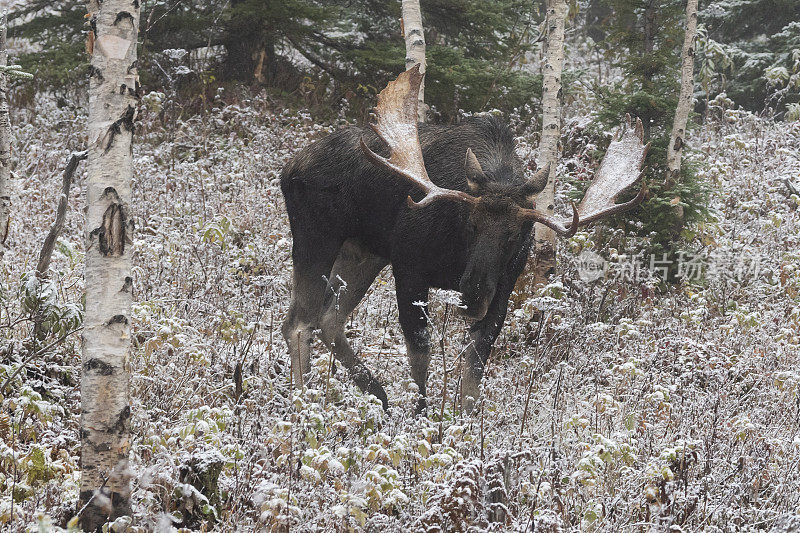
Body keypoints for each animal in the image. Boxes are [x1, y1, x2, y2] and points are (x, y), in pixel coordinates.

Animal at [278, 63, 648, 412]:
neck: (456, 255)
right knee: (299, 322)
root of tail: (288, 167)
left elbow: (475, 365)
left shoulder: (504, 286)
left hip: (364, 252)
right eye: (471, 224)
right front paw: (420, 416)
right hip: (318, 236)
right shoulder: (409, 266)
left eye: (515, 236)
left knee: (328, 320)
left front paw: (467, 424)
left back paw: (376, 395)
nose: (472, 293)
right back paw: (304, 402)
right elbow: (420, 352)